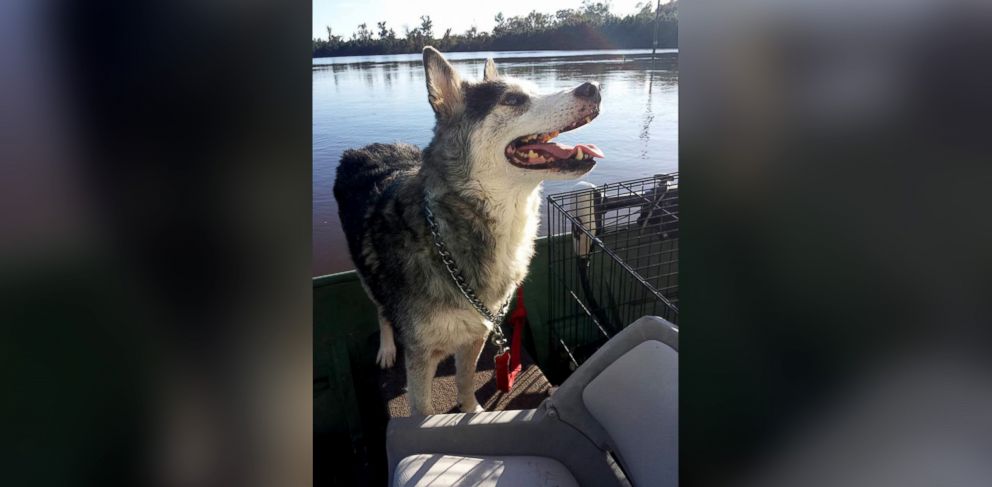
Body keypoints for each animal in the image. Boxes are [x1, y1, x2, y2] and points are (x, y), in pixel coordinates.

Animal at [336, 46, 604, 416]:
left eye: (534, 90)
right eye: (514, 99)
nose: (594, 88)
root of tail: (365, 147)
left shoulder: (479, 331)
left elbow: (464, 381)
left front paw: (472, 412)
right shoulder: (420, 356)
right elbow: (422, 409)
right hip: (366, 274)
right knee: (380, 310)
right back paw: (387, 348)